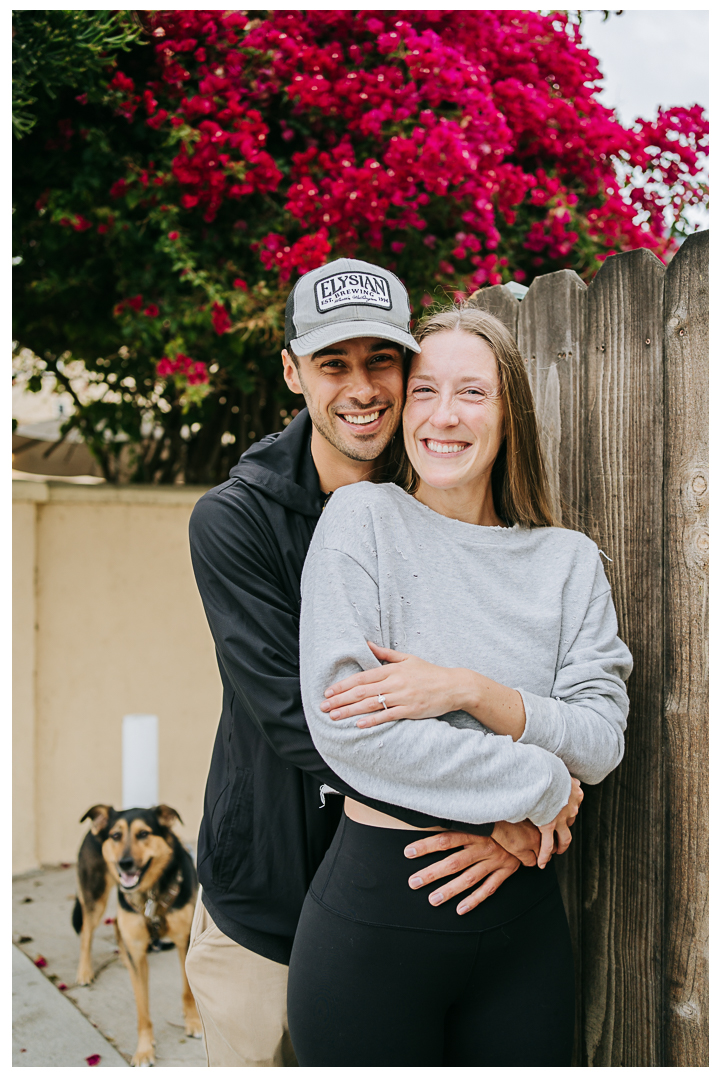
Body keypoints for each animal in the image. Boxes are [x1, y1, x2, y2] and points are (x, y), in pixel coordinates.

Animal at [72, 803, 201, 1062]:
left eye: (143, 834)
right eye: (115, 836)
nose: (125, 863)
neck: (150, 894)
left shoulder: (185, 942)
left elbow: (187, 990)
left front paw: (193, 1022)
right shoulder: (139, 955)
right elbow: (142, 1007)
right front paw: (144, 1050)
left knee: (115, 924)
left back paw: (122, 956)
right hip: (95, 897)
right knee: (87, 933)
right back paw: (85, 971)